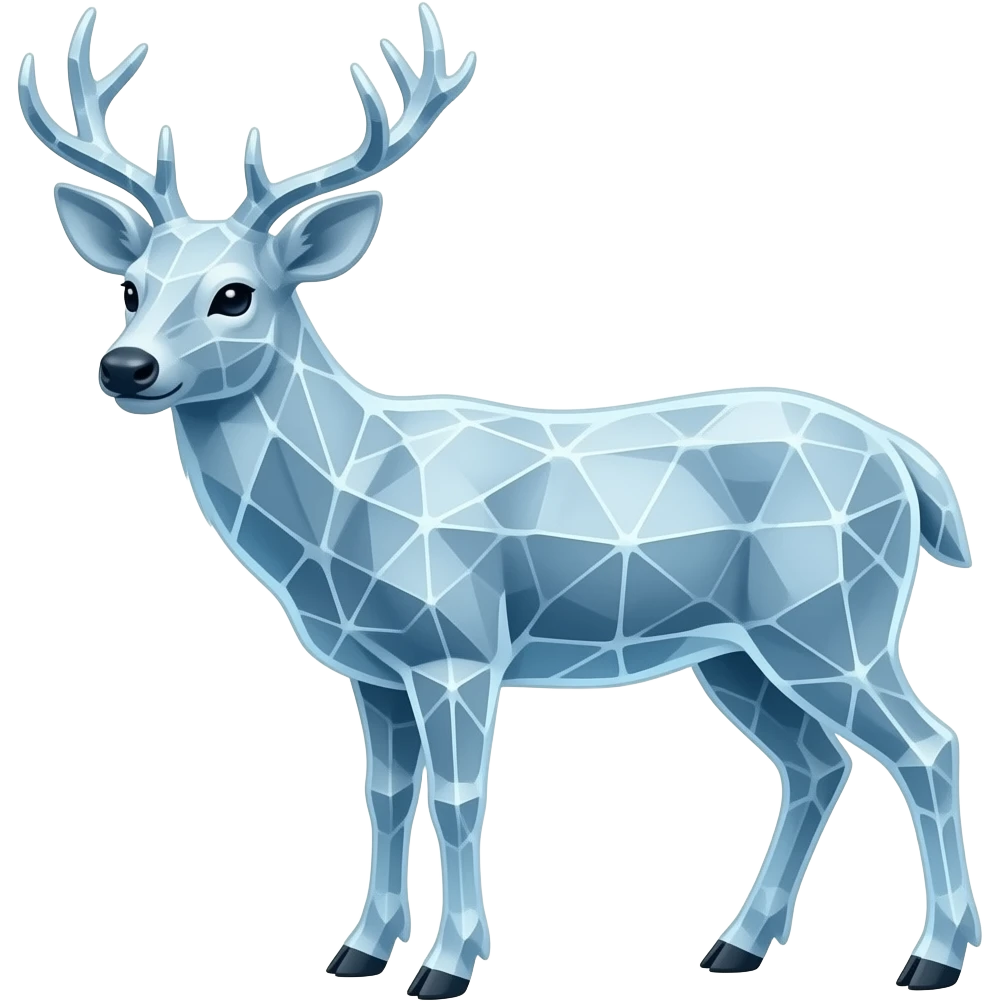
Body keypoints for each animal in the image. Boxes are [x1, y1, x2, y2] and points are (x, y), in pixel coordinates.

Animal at [18, 5, 980, 997]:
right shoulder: (373, 666)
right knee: (816, 763)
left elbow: (455, 797)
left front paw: (445, 966)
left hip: (832, 615)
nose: (126, 366)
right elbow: (383, 795)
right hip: (739, 650)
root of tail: (906, 461)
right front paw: (359, 950)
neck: (349, 496)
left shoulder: (461, 643)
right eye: (131, 288)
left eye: (235, 294)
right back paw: (736, 945)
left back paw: (930, 959)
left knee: (929, 746)